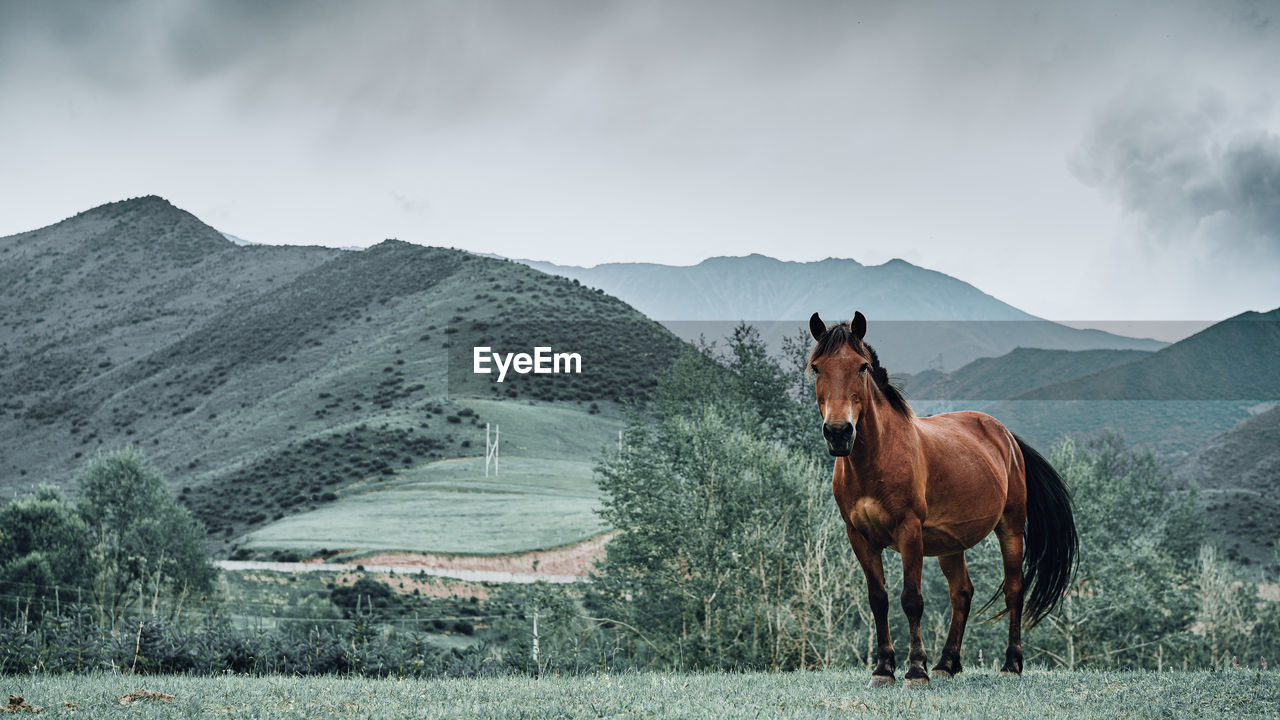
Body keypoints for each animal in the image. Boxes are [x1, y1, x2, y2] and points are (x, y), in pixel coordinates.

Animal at [808, 310, 1080, 681]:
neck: (876, 459)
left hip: (1010, 527)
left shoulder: (909, 531)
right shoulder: (859, 536)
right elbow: (878, 599)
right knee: (961, 593)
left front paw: (915, 670)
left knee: (1014, 588)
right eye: (816, 368)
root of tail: (1006, 436)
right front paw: (884, 668)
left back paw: (1011, 663)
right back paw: (947, 663)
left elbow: (911, 599)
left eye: (862, 367)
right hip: (951, 544)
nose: (838, 433)